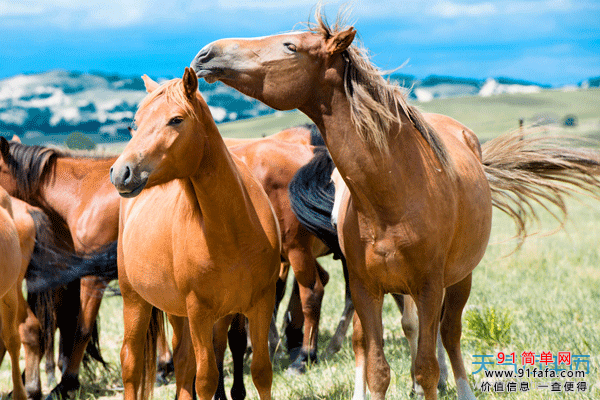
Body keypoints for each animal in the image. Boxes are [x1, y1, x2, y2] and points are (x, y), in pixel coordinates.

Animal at [109, 69, 282, 400]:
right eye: (134, 123)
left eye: (176, 119)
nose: (121, 172)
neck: (232, 230)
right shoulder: (200, 312)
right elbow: (206, 380)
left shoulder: (260, 304)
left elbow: (261, 372)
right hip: (134, 300)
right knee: (132, 364)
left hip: (178, 312)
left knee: (182, 363)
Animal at [192, 9, 600, 400]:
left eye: (290, 46)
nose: (205, 54)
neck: (393, 193)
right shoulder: (367, 289)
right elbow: (377, 367)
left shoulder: (428, 288)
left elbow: (426, 367)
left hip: (460, 279)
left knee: (450, 334)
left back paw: (461, 389)